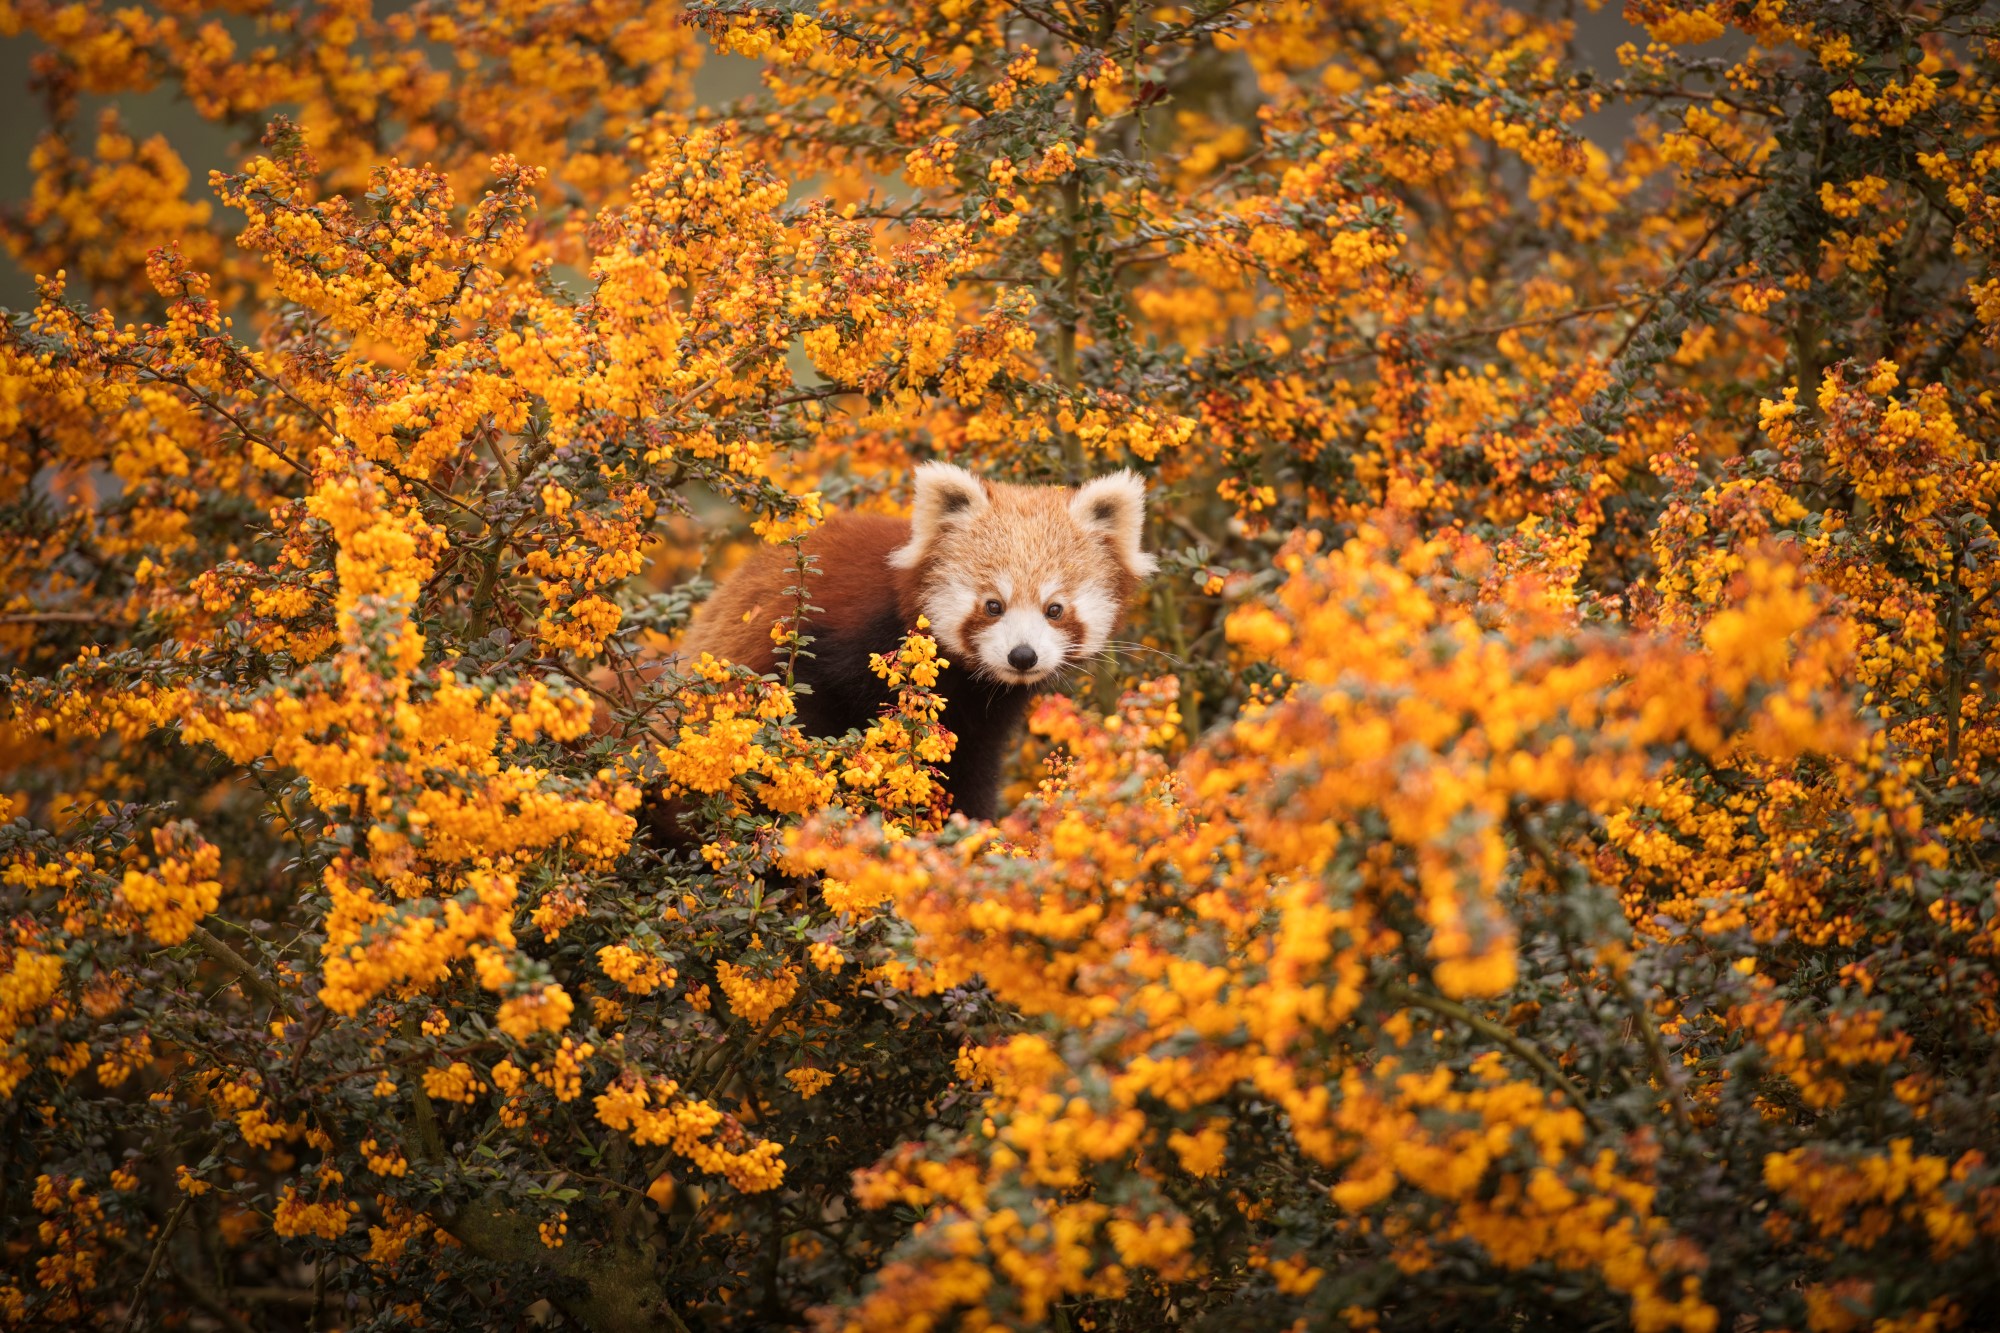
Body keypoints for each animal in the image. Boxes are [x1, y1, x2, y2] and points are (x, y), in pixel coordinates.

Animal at [680, 466, 1160, 820]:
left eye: (1054, 609)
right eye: (993, 605)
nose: (1023, 656)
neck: (963, 685)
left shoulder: (981, 727)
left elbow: (967, 777)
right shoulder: (829, 644)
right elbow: (810, 717)